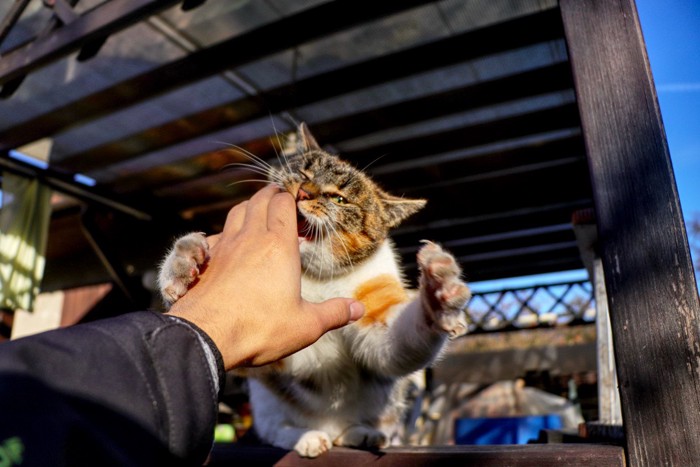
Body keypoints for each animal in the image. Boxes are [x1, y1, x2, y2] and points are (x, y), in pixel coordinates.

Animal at [159, 123, 470, 458]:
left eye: (340, 199)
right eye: (304, 171)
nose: (304, 192)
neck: (317, 278)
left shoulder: (377, 312)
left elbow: (394, 345)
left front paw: (438, 292)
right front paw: (185, 261)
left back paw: (363, 433)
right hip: (267, 402)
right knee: (274, 429)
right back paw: (304, 437)